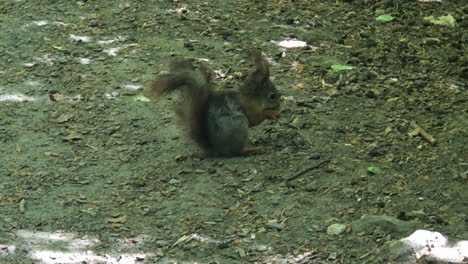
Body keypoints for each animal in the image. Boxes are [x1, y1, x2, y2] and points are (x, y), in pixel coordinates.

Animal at [144, 49, 280, 156]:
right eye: (272, 96)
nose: (279, 107)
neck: (252, 97)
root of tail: (216, 149)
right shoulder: (247, 106)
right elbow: (254, 118)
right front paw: (272, 113)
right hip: (239, 124)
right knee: (236, 152)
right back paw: (253, 150)